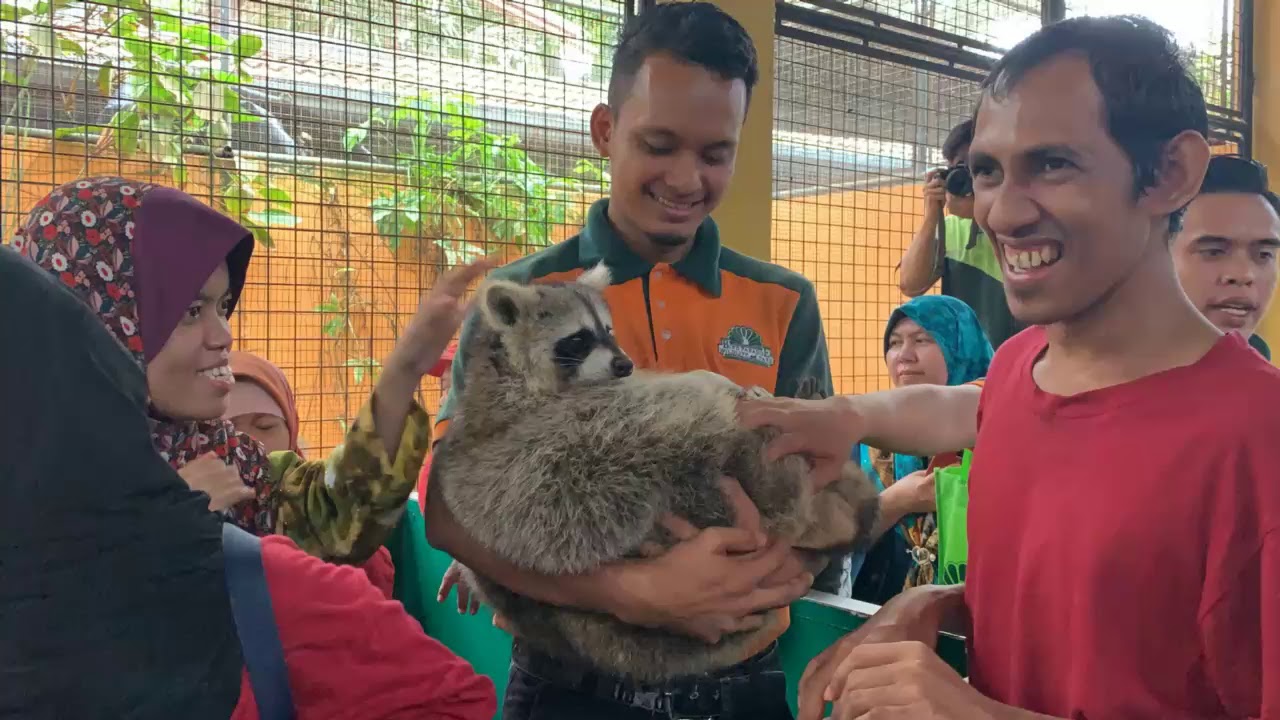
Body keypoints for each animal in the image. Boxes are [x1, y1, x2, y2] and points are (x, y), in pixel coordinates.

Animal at [428, 263, 880, 682]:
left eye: (607, 330)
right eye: (578, 339)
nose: (624, 364)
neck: (503, 372)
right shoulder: (575, 415)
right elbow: (685, 387)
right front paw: (713, 378)